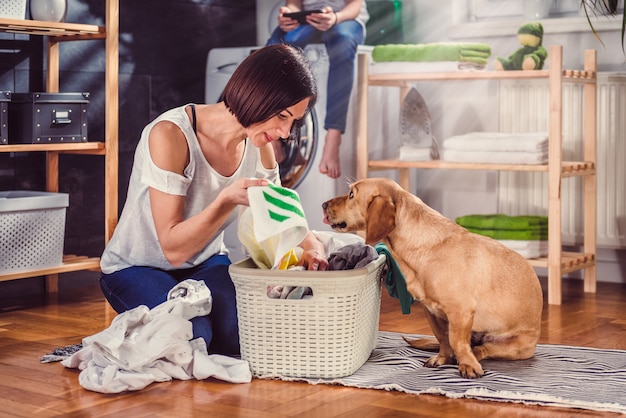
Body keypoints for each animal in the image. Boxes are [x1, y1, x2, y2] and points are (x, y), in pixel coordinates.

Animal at [322, 176, 540, 378]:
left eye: (351, 194)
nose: (323, 204)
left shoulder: (460, 312)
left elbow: (456, 342)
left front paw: (467, 365)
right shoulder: (432, 312)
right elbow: (444, 339)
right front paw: (442, 358)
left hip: (515, 345)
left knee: (481, 349)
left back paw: (471, 359)